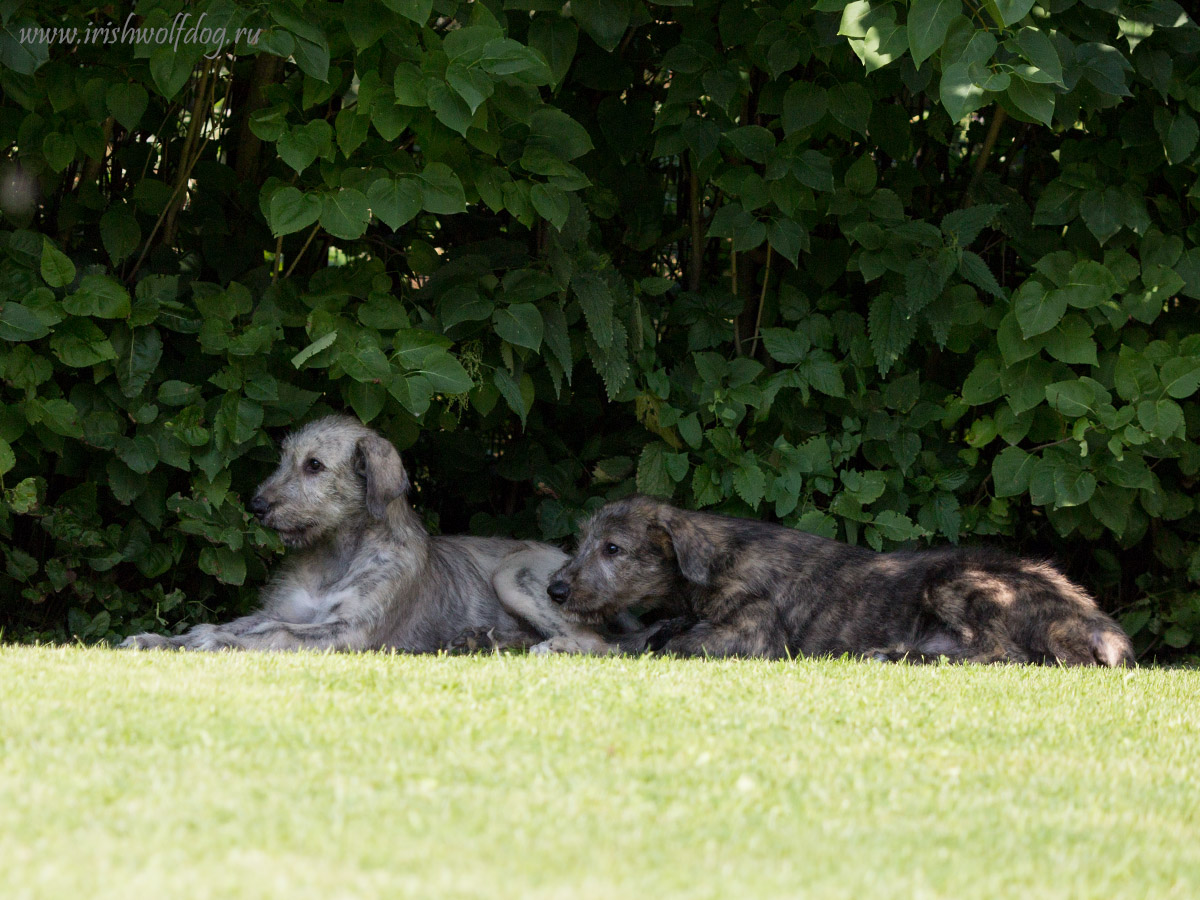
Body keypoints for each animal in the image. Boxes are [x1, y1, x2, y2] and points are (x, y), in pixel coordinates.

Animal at [540, 496, 1137, 667]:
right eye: (582, 540)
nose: (556, 590)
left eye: (613, 549)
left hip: (960, 581)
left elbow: (655, 647)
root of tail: (1101, 626)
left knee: (1002, 653)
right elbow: (642, 637)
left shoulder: (749, 637)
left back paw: (894, 654)